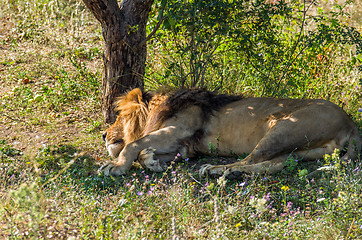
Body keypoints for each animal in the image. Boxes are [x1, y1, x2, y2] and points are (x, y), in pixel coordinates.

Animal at [99, 88, 362, 178]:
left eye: (119, 117)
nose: (103, 135)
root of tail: (351, 123)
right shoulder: (185, 147)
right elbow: (144, 151)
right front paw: (153, 161)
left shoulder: (179, 129)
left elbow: (133, 145)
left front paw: (115, 166)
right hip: (302, 149)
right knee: (274, 165)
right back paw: (234, 174)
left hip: (283, 128)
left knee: (251, 159)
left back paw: (216, 170)